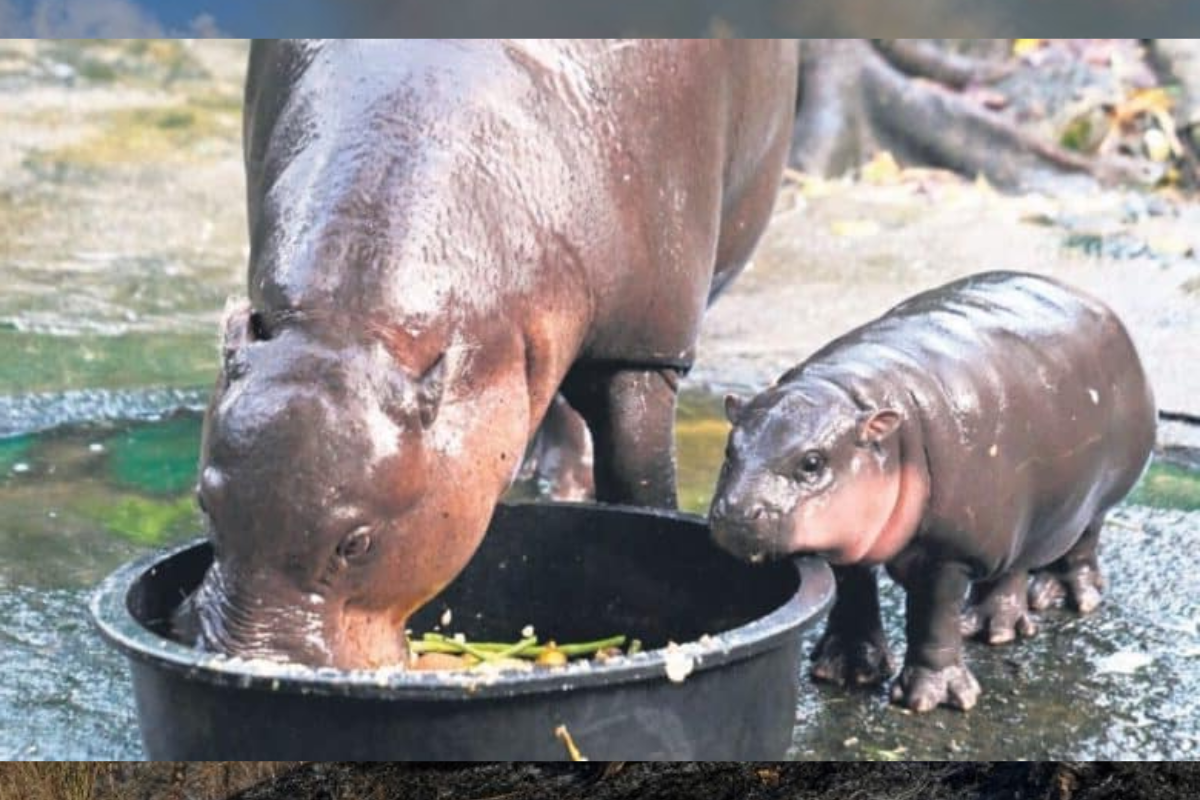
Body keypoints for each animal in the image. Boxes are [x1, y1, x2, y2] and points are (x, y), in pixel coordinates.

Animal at [175, 40, 796, 671]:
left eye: (357, 542)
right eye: (204, 503)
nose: (253, 657)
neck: (349, 328)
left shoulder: (644, 349)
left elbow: (641, 478)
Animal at [710, 272, 1152, 710]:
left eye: (813, 462)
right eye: (730, 449)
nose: (735, 512)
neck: (853, 395)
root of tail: (1090, 299)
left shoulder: (947, 552)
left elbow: (933, 617)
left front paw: (930, 698)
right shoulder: (851, 535)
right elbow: (853, 591)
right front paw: (846, 670)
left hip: (1098, 495)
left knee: (1083, 539)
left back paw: (1063, 597)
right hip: (1024, 506)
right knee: (1014, 562)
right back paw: (994, 627)